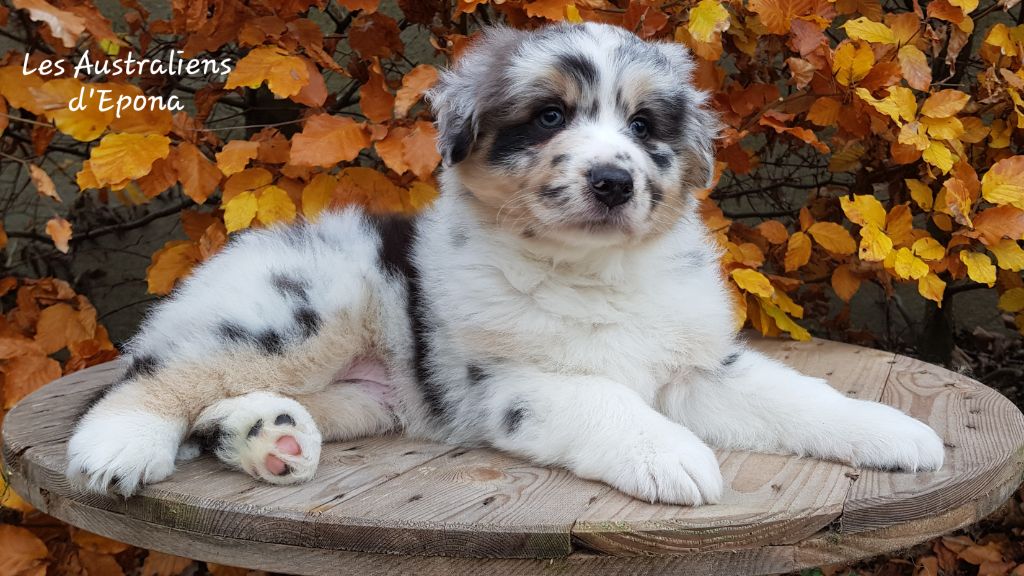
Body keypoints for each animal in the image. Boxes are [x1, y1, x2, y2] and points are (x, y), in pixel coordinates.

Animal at [66, 22, 944, 505]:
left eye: (644, 126)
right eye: (550, 116)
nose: (613, 180)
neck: (592, 272)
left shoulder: (698, 367)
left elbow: (800, 398)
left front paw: (898, 433)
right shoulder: (515, 381)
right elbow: (607, 404)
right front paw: (672, 457)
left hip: (368, 393)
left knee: (221, 407)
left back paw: (269, 438)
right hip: (296, 308)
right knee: (150, 375)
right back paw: (119, 448)